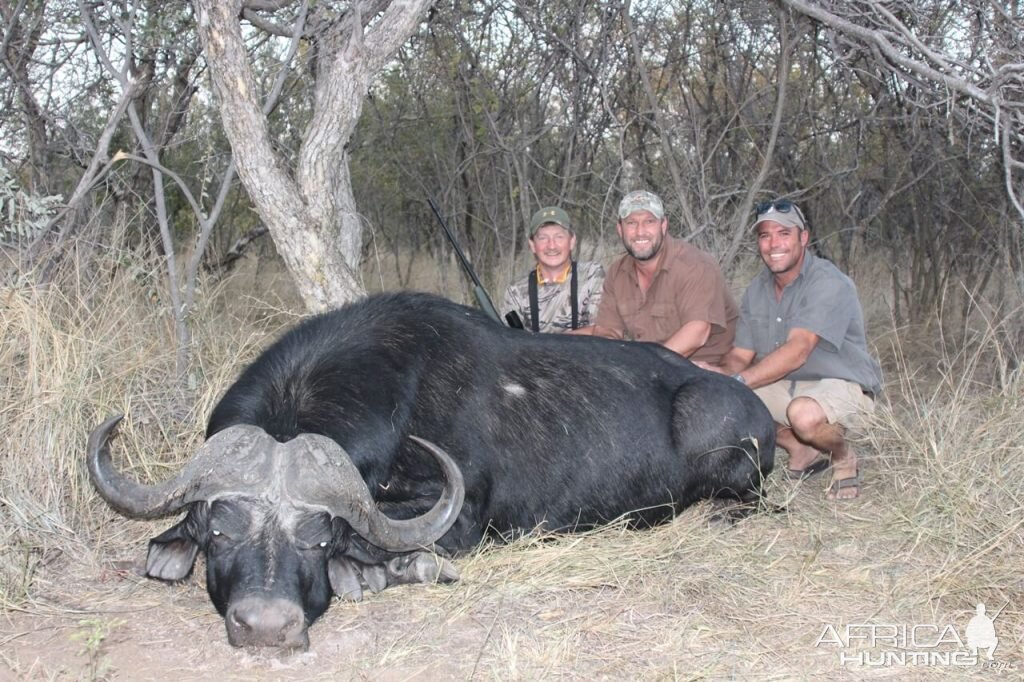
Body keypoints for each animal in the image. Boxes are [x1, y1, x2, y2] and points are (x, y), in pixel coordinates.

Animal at [88, 288, 770, 647]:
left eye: (319, 537)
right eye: (217, 530)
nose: (265, 625)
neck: (398, 396)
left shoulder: (459, 519)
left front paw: (381, 570)